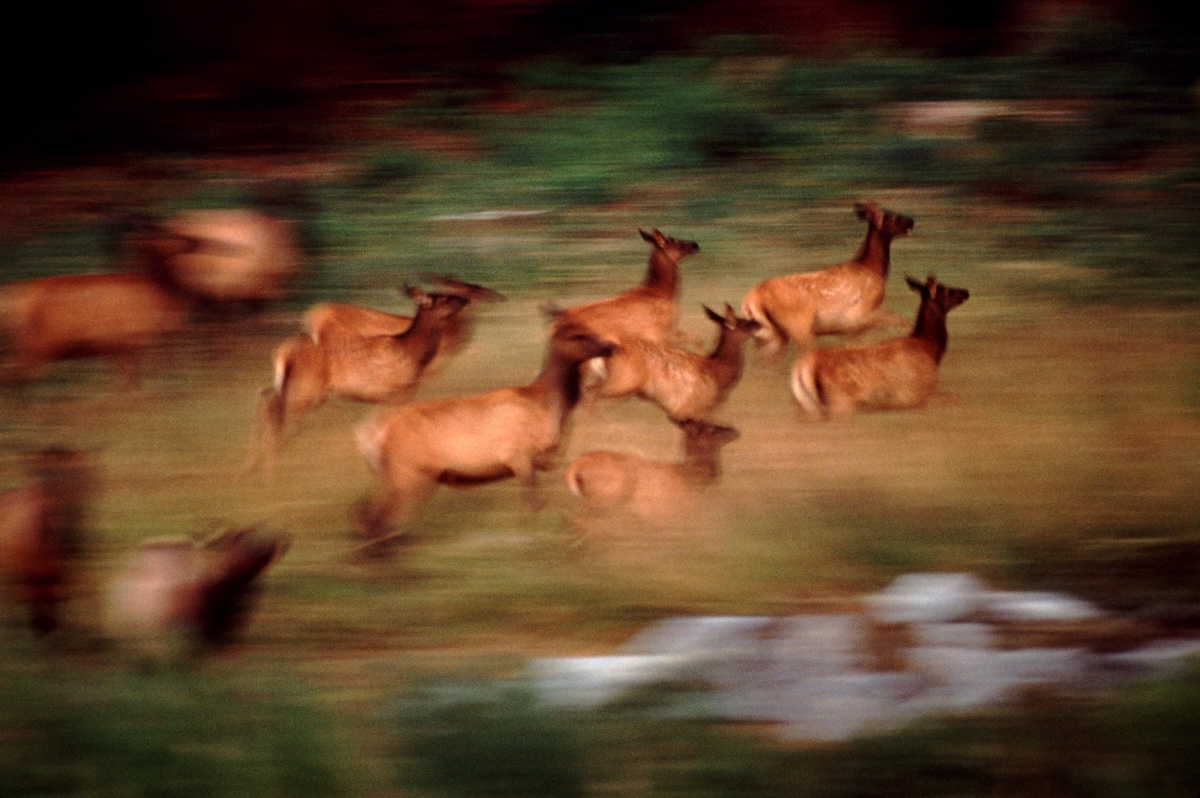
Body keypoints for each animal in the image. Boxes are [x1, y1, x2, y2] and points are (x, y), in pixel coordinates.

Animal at [247, 289, 469, 475]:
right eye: (443, 298)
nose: (464, 299)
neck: (414, 353)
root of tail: (282, 353)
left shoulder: (389, 395)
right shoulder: (399, 389)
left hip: (293, 385)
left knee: (266, 398)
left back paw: (252, 469)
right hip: (307, 387)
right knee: (279, 411)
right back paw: (269, 472)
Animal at [353, 318, 615, 552]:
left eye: (589, 327)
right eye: (577, 335)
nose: (609, 346)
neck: (551, 407)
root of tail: (378, 436)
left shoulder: (546, 460)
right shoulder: (516, 455)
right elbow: (533, 503)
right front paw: (524, 537)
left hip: (405, 476)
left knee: (369, 515)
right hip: (406, 473)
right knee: (375, 518)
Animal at [585, 304, 760, 422]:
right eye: (745, 323)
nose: (758, 323)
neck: (718, 372)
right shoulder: (686, 406)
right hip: (624, 380)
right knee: (592, 393)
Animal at [741, 201, 915, 357]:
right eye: (890, 215)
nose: (911, 220)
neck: (873, 268)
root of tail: (752, 298)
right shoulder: (860, 315)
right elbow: (901, 320)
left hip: (770, 334)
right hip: (798, 326)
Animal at [790, 275, 969, 419]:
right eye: (947, 290)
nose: (966, 292)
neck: (930, 348)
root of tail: (802, 367)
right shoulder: (916, 395)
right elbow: (956, 399)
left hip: (805, 405)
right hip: (840, 400)